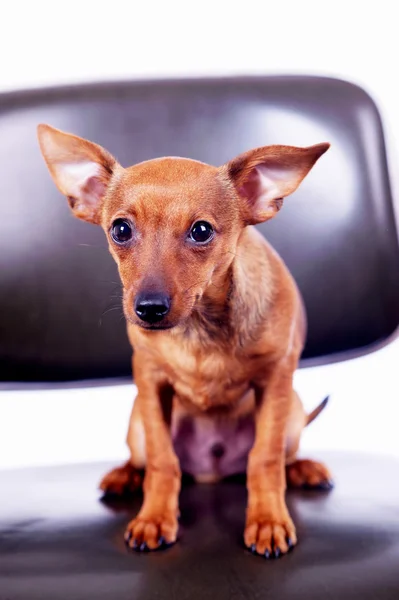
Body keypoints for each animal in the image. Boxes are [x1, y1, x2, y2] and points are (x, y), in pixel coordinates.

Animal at [38, 124, 332, 560]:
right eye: (120, 230)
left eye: (201, 231)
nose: (149, 309)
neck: (199, 328)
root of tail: (212, 473)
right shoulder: (150, 380)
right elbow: (163, 461)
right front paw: (155, 518)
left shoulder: (276, 379)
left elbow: (264, 458)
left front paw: (267, 521)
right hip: (136, 421)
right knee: (144, 458)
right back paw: (125, 475)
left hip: (293, 411)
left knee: (281, 454)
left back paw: (301, 468)